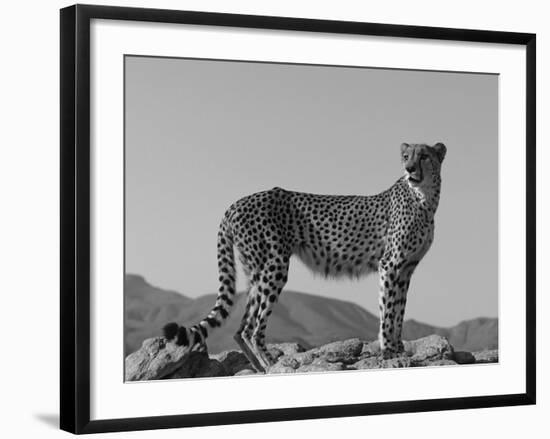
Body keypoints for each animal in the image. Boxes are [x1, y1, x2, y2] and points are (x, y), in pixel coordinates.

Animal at [164, 143, 448, 372]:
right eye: (406, 156)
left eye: (424, 156)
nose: (409, 169)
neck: (424, 199)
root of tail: (237, 202)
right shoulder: (390, 265)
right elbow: (388, 311)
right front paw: (389, 352)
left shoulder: (406, 269)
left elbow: (399, 309)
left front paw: (398, 348)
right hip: (274, 266)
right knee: (253, 329)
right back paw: (272, 364)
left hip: (256, 271)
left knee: (241, 328)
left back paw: (260, 368)